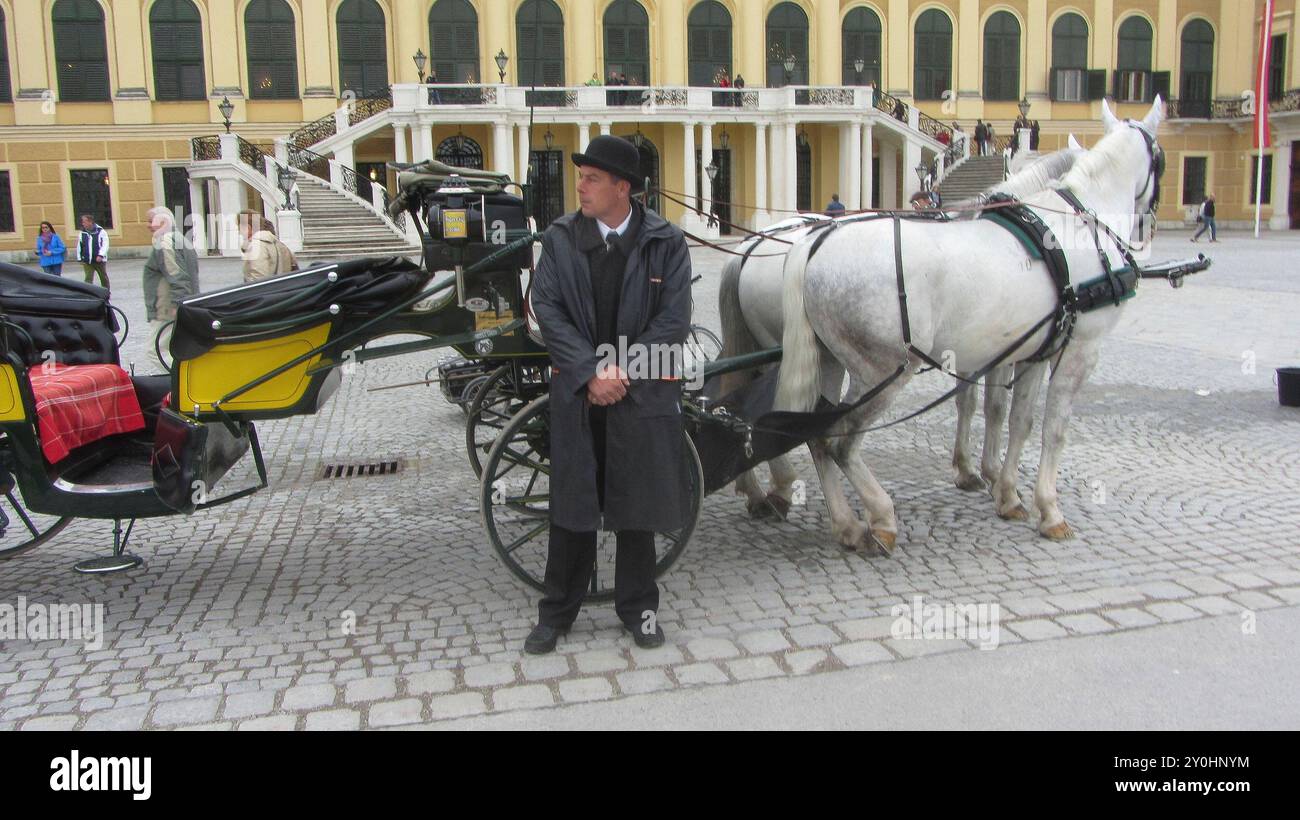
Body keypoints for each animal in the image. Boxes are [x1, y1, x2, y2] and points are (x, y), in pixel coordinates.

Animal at [722, 143, 1086, 522]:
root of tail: (748, 250)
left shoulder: (985, 349)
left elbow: (975, 403)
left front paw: (976, 470)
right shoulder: (1015, 349)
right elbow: (999, 409)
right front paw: (993, 478)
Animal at [769, 101, 1170, 550]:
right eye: (1161, 160)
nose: (1147, 226)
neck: (1079, 224)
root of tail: (816, 240)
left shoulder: (1032, 352)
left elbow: (1018, 422)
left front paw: (1008, 493)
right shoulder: (1079, 352)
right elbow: (1054, 430)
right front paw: (1049, 510)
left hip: (830, 363)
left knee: (816, 436)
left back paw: (847, 524)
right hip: (882, 373)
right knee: (842, 440)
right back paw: (881, 516)